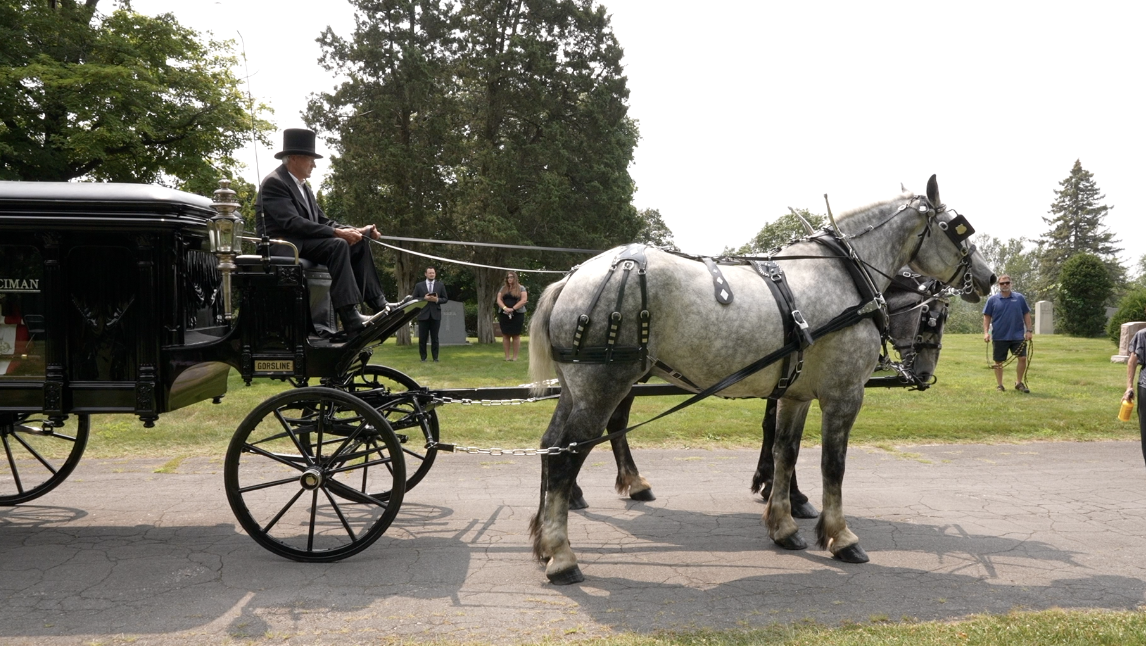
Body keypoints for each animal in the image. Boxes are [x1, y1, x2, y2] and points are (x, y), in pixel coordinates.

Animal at [527, 176, 992, 584]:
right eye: (958, 229)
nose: (987, 278)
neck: (845, 275)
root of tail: (571, 278)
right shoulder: (843, 394)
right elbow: (833, 465)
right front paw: (840, 537)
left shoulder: (796, 394)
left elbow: (786, 452)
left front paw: (784, 525)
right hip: (605, 386)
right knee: (568, 454)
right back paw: (563, 554)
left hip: (577, 391)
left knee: (551, 443)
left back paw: (544, 541)